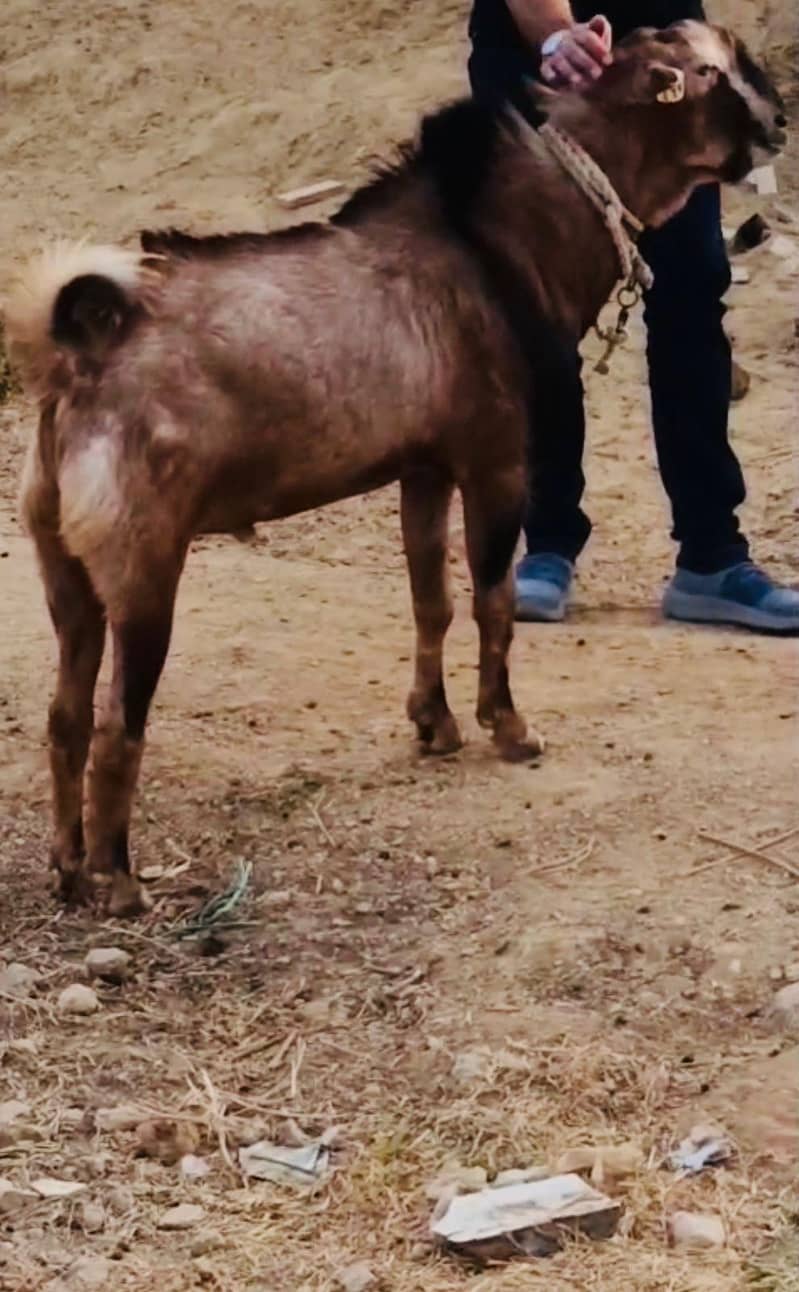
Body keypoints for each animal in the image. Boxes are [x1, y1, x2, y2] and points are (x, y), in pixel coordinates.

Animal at [3, 21, 786, 915]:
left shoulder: (424, 468)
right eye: (711, 72)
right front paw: (507, 728)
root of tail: (80, 355)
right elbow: (491, 600)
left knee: (64, 716)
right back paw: (120, 879)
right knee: (115, 725)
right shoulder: (494, 458)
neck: (495, 243)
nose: (778, 120)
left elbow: (429, 600)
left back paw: (69, 869)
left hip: (63, 566)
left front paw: (433, 724)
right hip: (141, 567)